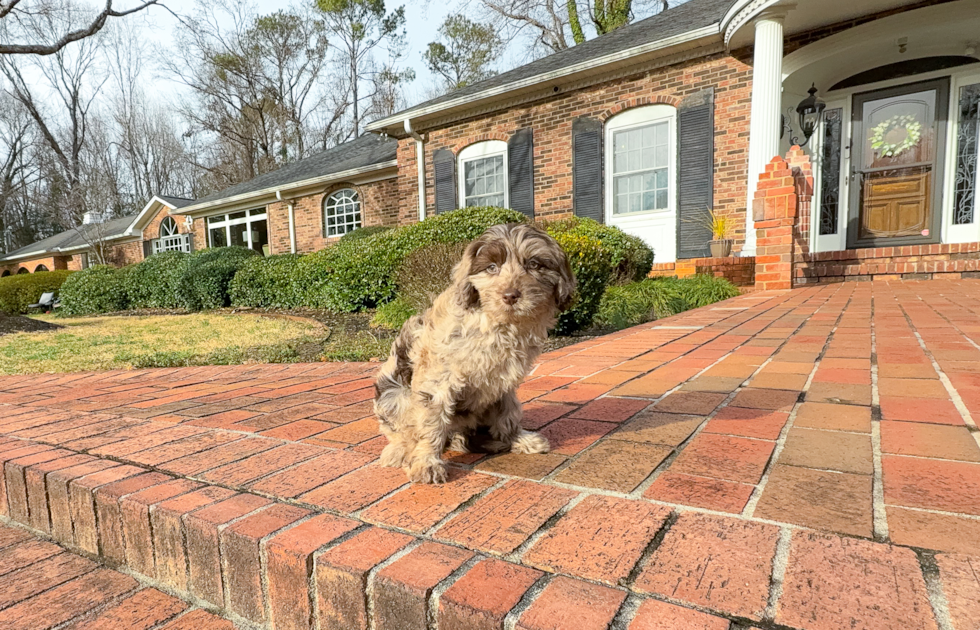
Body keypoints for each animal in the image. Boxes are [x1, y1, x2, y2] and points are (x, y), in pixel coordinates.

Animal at [374, 225, 576, 486]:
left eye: (534, 264)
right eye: (491, 267)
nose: (510, 295)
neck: (497, 324)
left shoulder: (504, 383)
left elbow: (507, 414)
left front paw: (517, 438)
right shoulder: (437, 379)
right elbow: (430, 421)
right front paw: (427, 462)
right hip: (394, 394)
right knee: (403, 431)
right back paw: (399, 451)